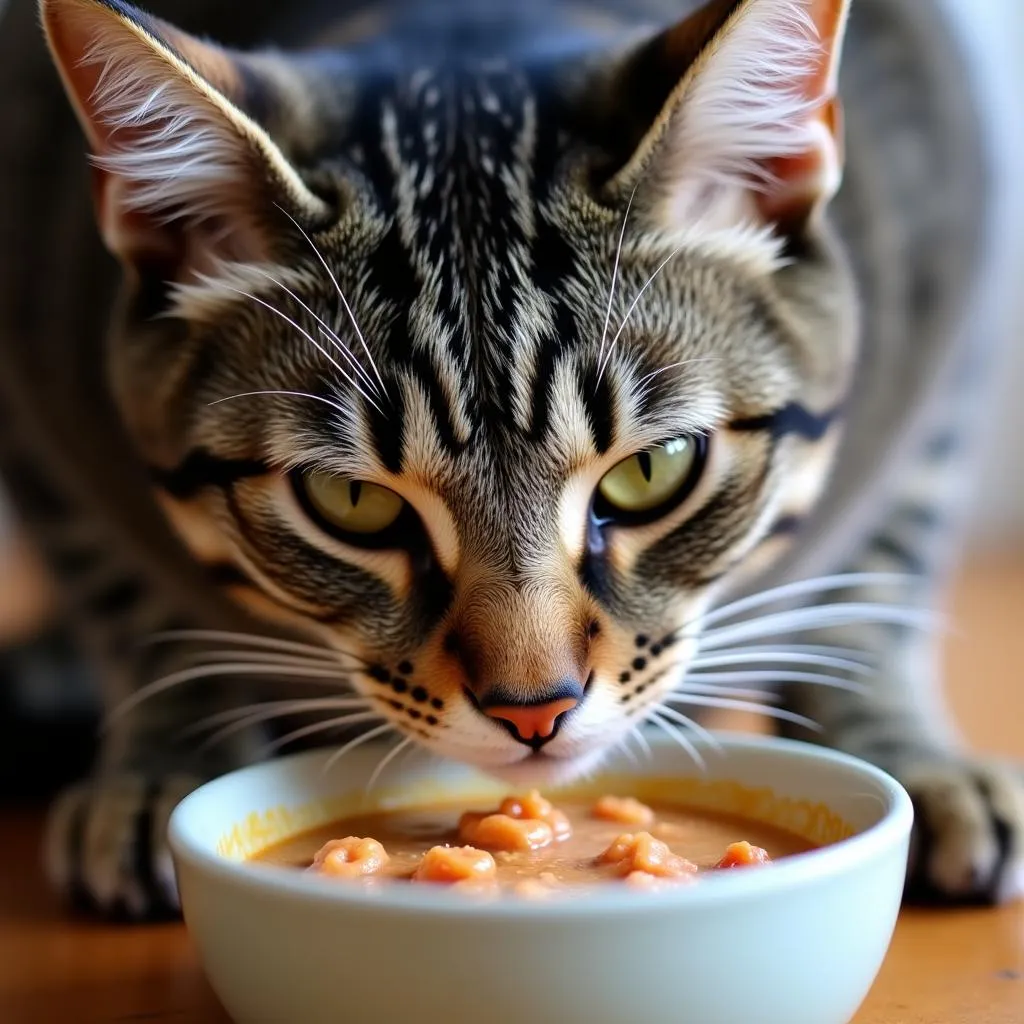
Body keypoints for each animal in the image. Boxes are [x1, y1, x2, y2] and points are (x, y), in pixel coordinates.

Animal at [2, 0, 1015, 921]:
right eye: (351, 500)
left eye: (652, 471)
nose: (534, 711)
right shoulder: (39, 418)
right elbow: (137, 607)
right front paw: (167, 761)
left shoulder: (954, 326)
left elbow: (881, 571)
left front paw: (911, 755)